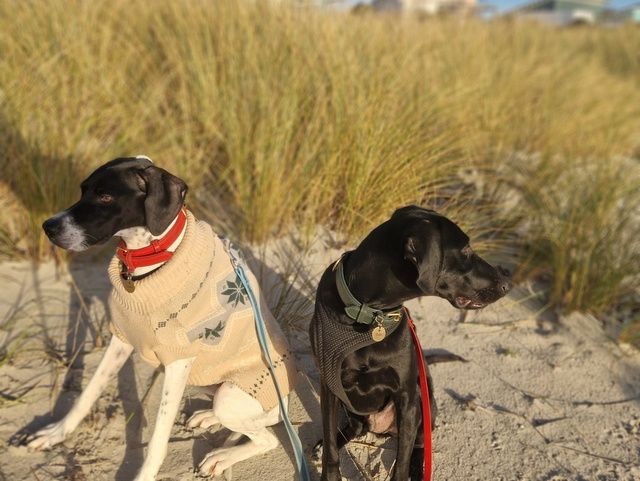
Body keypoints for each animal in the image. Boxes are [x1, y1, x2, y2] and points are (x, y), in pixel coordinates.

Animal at [22, 156, 297, 481]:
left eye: (105, 196)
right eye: (83, 190)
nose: (47, 226)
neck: (148, 260)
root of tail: (284, 402)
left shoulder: (177, 363)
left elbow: (157, 441)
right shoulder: (121, 338)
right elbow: (87, 394)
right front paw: (56, 433)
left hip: (231, 394)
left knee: (266, 438)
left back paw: (222, 456)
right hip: (208, 382)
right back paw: (208, 417)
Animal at [309, 205, 512, 481]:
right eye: (466, 250)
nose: (507, 284)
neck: (369, 315)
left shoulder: (406, 398)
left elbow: (402, 460)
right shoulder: (329, 386)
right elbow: (331, 447)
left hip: (424, 404)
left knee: (418, 445)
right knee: (355, 428)